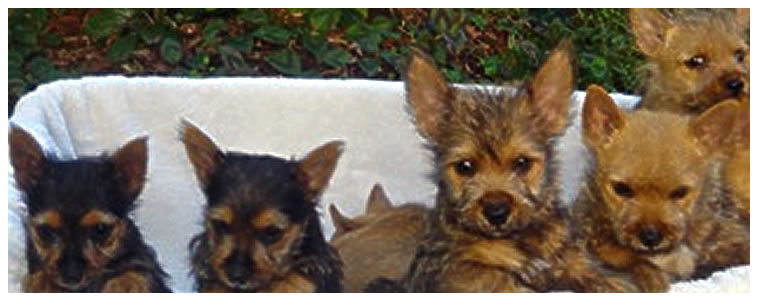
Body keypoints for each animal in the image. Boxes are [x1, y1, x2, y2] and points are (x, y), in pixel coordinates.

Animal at [9, 125, 170, 292]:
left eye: (101, 229)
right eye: (45, 231)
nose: (71, 276)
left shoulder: (142, 260)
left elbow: (138, 271)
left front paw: (124, 285)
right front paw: (42, 282)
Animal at [370, 41, 636, 292]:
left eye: (522, 163)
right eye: (465, 167)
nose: (496, 212)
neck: (519, 241)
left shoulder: (570, 260)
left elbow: (600, 277)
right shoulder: (463, 275)